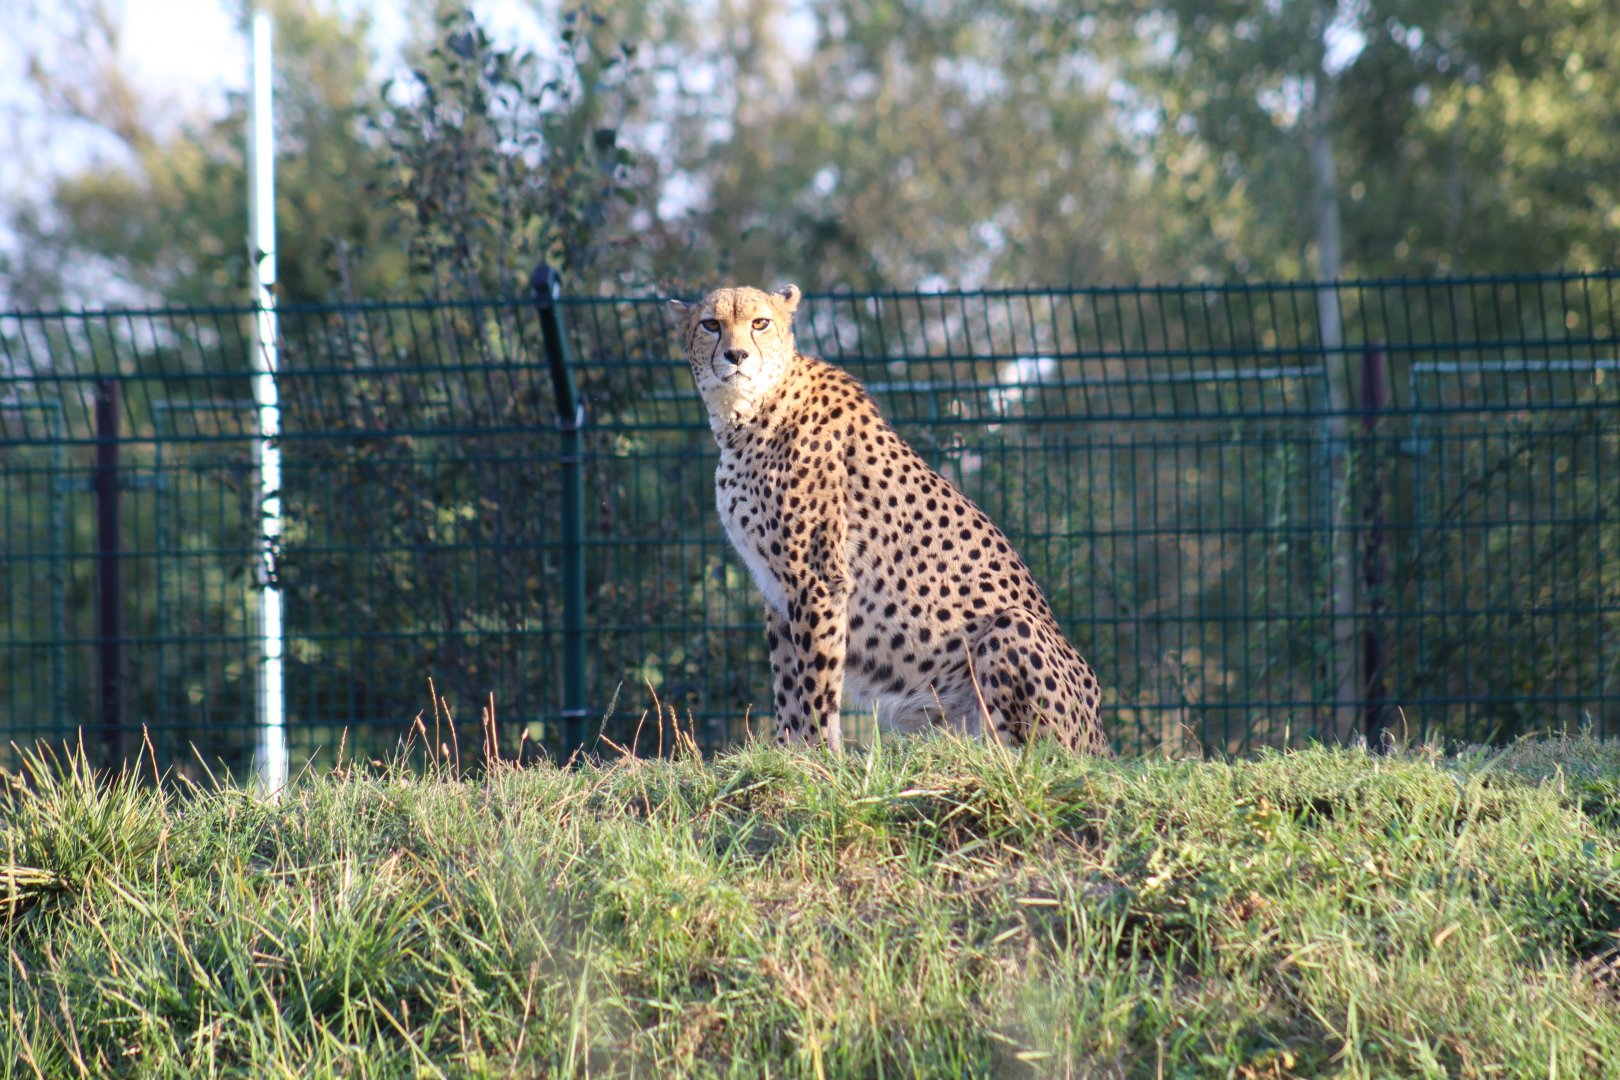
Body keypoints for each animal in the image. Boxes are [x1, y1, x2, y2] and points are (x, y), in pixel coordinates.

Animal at [669, 283, 1109, 755]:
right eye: (710, 324)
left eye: (760, 322)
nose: (736, 355)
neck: (747, 413)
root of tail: (1102, 743)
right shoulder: (778, 589)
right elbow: (787, 681)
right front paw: (789, 754)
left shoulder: (818, 579)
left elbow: (817, 680)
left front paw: (821, 756)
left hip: (1014, 628)